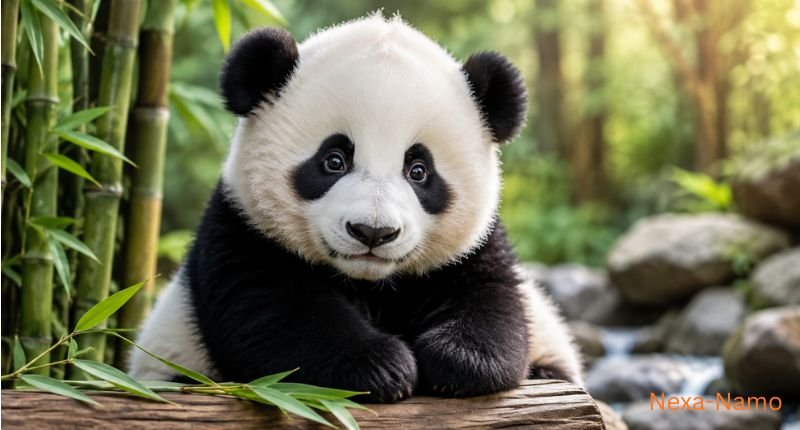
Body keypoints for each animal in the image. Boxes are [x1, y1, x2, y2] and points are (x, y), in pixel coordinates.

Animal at [129, 14, 583, 403]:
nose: (373, 232)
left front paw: (456, 361)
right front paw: (384, 368)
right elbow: (273, 314)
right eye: (334, 160)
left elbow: (494, 305)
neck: (370, 282)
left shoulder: (475, 249)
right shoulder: (242, 229)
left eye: (419, 170)